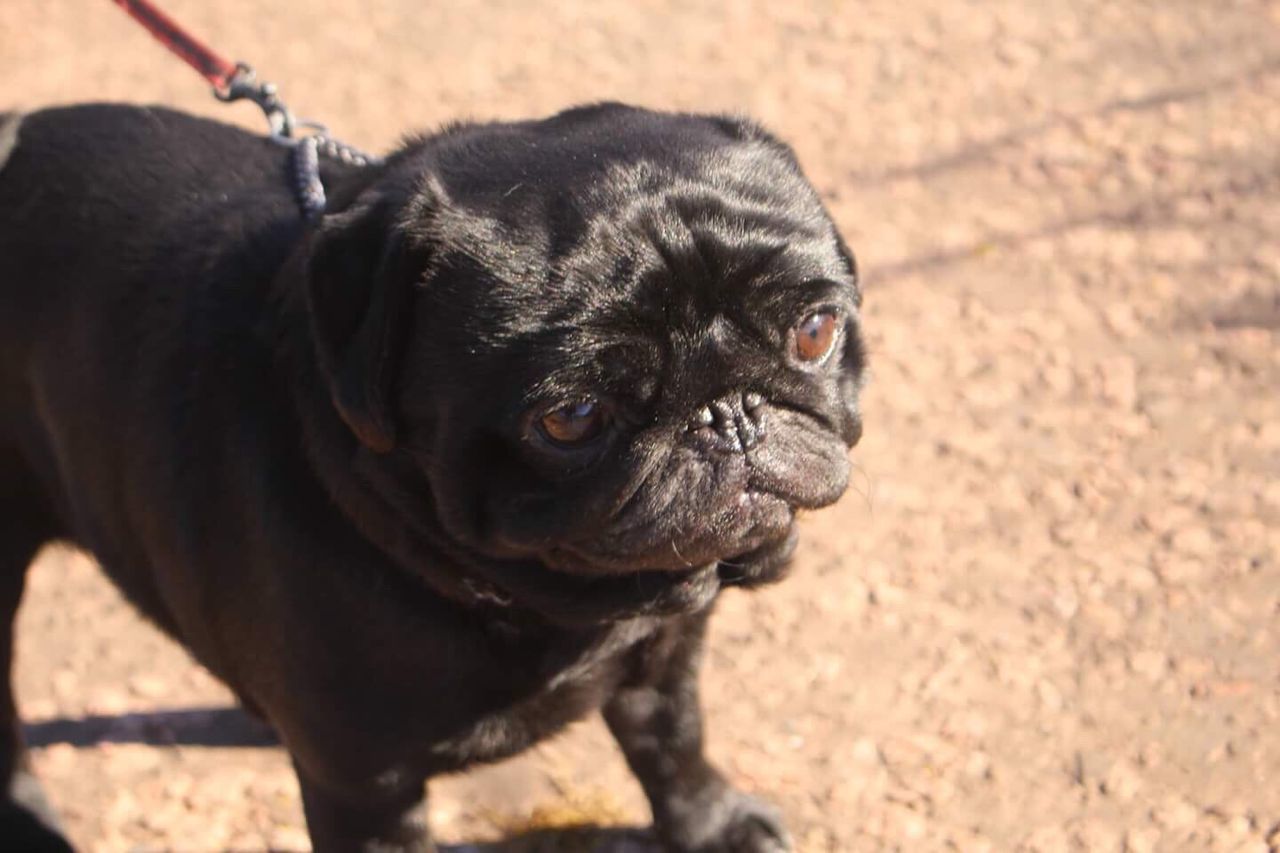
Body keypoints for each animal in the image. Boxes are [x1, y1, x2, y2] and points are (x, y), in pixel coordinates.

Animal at [0, 103, 865, 845]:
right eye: (572, 416)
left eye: (816, 331)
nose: (730, 416)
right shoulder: (365, 787)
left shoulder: (665, 656)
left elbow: (674, 741)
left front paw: (712, 825)